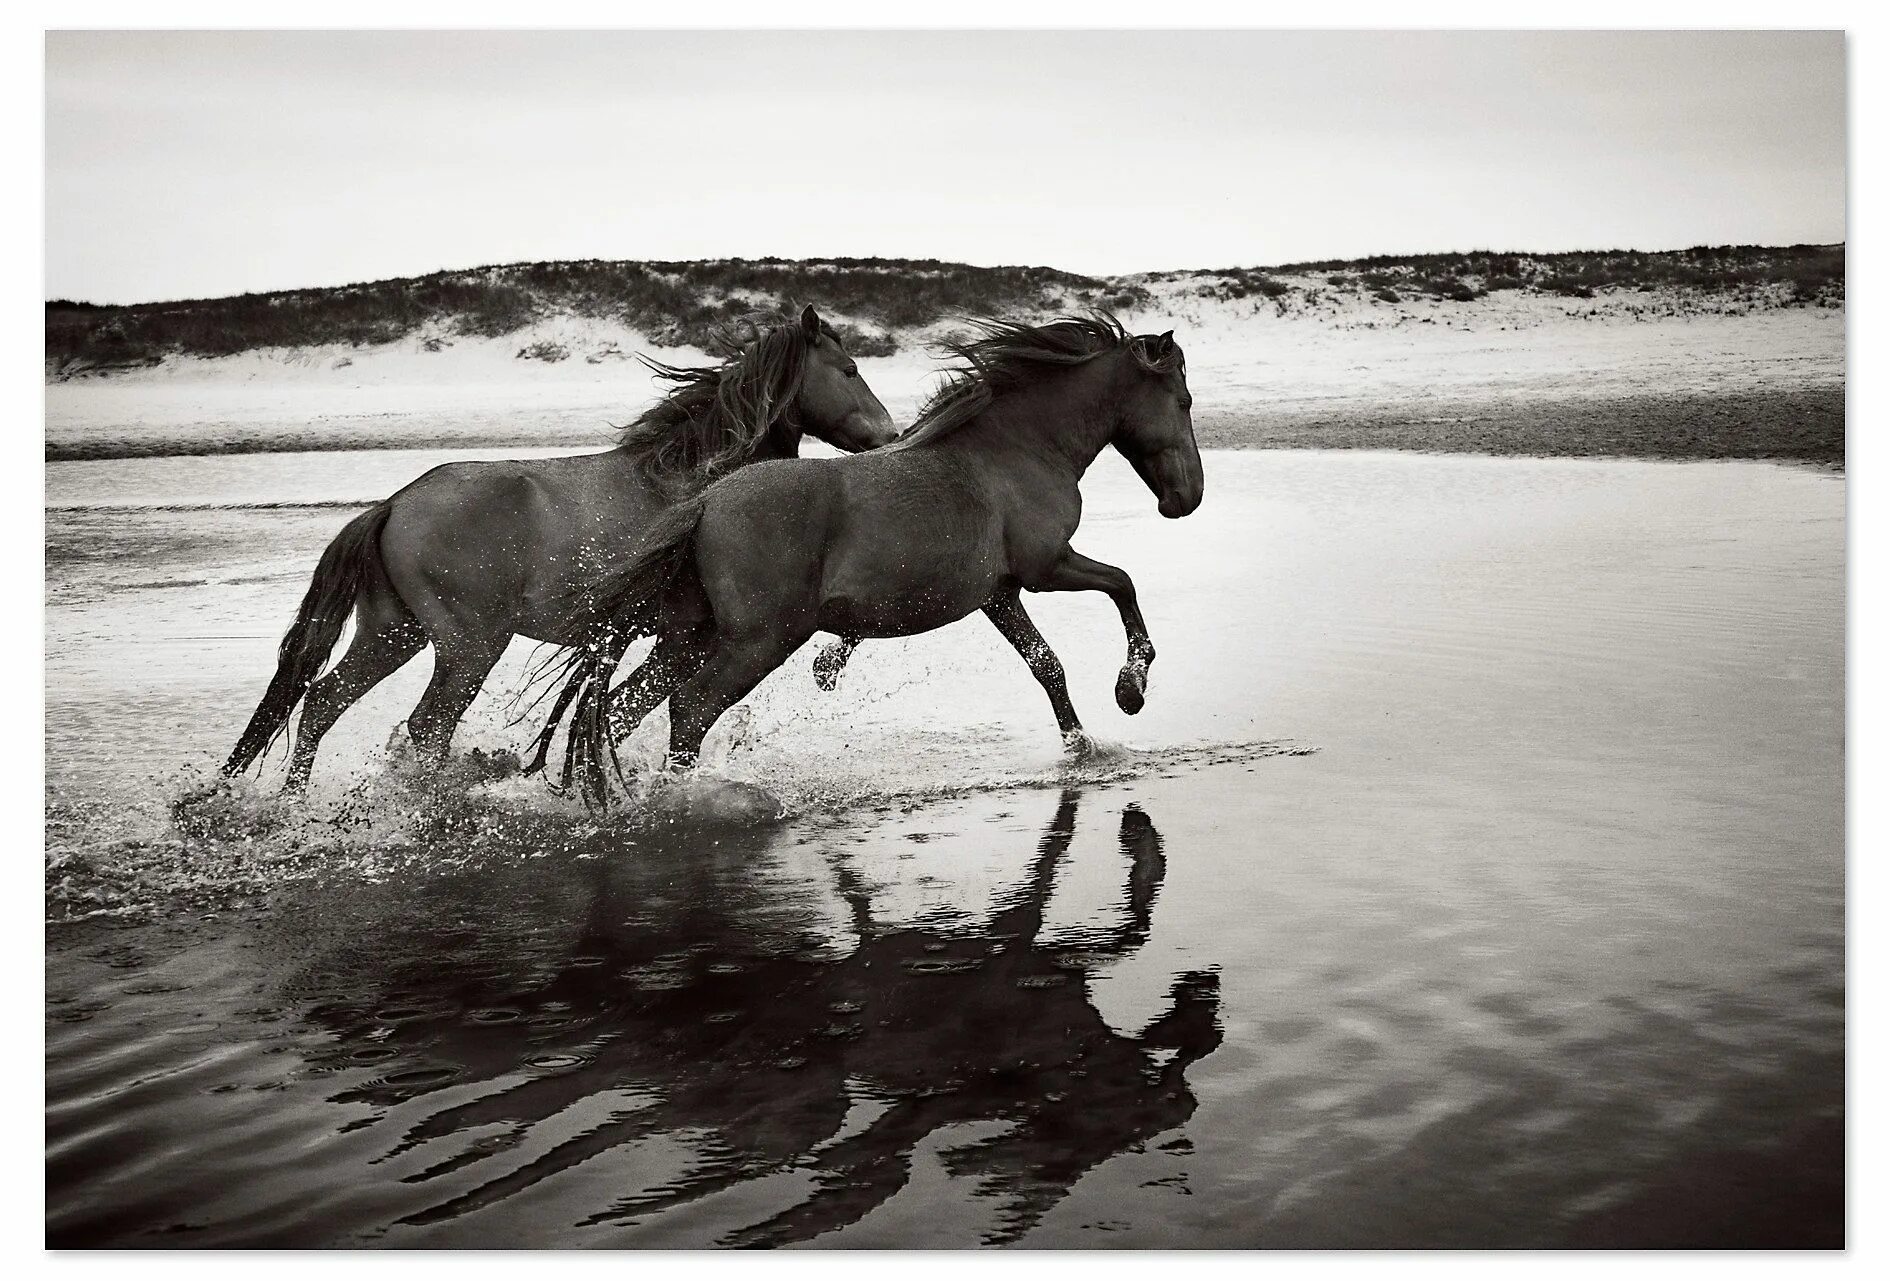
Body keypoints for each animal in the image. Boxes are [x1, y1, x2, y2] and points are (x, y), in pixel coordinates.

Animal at [221, 311, 899, 793]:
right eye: (848, 369)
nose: (890, 435)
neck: (691, 484)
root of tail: (393, 505)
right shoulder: (686, 634)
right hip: (468, 647)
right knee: (425, 728)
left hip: (392, 634)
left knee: (321, 704)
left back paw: (293, 803)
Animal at [540, 311, 1202, 808]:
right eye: (1185, 400)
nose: (1186, 499)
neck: (1017, 448)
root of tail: (704, 502)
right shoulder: (1048, 568)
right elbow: (1123, 584)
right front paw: (1131, 688)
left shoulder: (1000, 593)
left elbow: (1047, 665)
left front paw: (1082, 748)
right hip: (758, 640)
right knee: (689, 710)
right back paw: (692, 798)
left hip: (689, 637)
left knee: (619, 708)